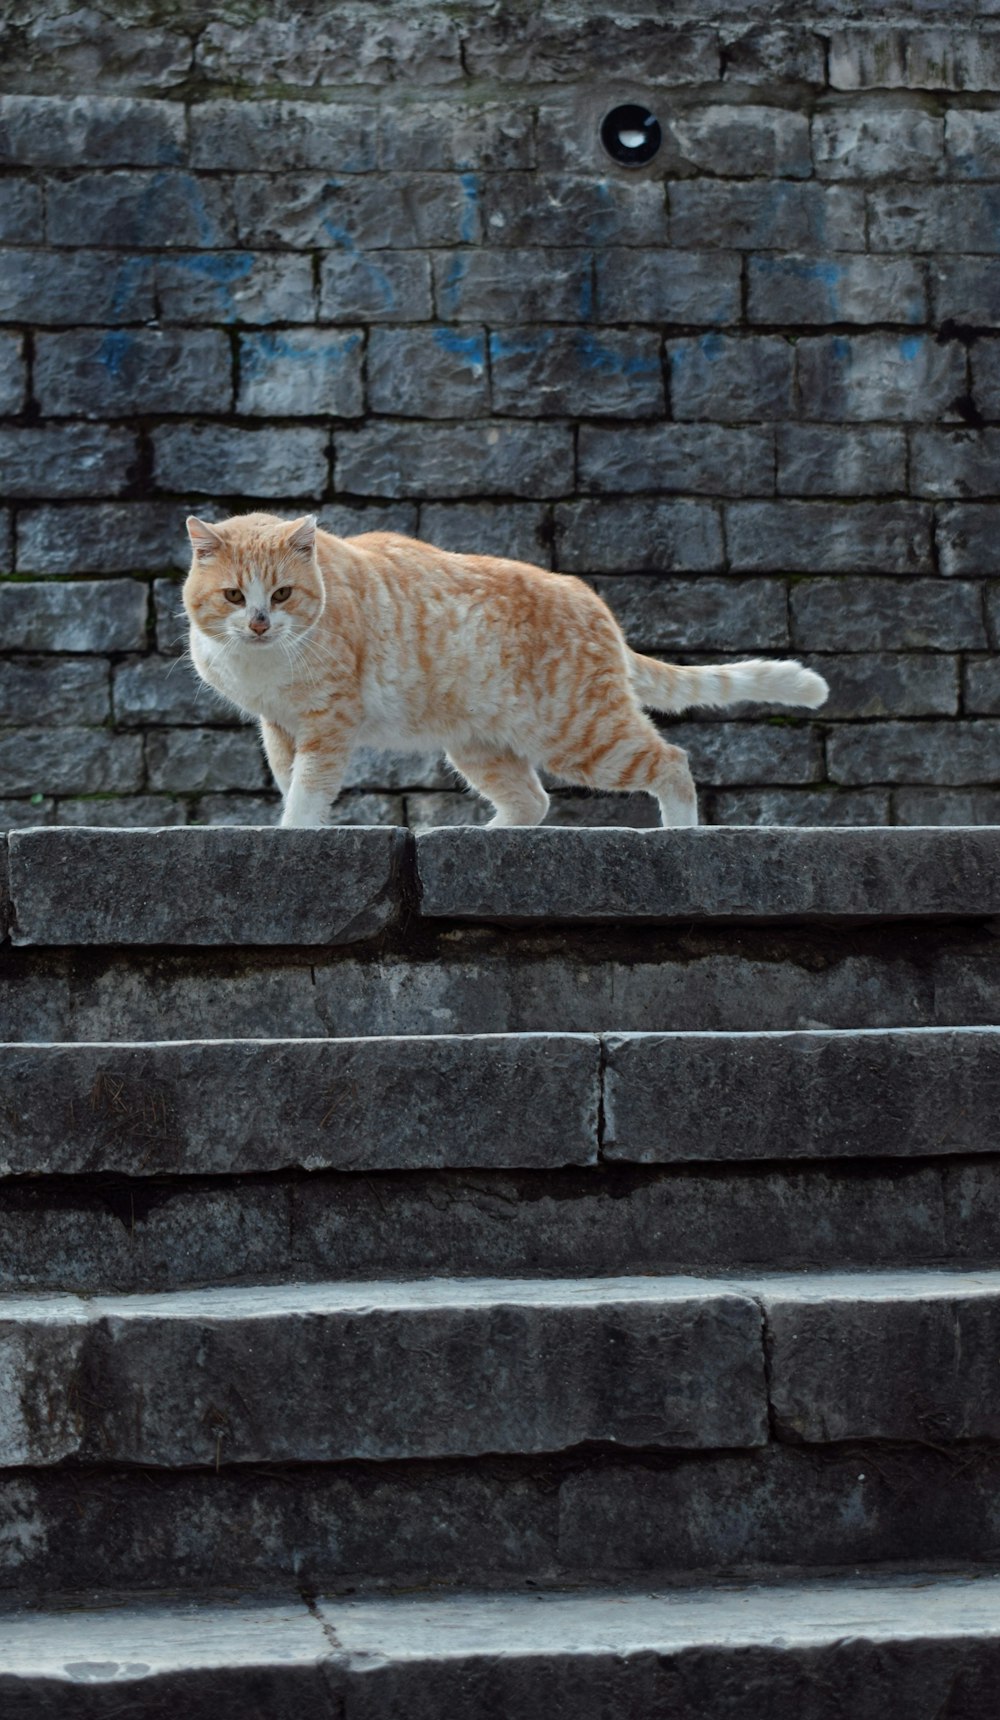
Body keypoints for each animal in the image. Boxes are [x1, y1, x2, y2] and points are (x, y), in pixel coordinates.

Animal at [183, 505, 822, 829]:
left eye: (283, 594)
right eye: (235, 596)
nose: (260, 623)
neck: (262, 662)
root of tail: (592, 600)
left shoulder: (327, 723)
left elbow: (309, 787)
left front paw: (296, 829)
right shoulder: (280, 727)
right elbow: (288, 778)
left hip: (581, 734)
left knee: (672, 761)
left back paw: (681, 832)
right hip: (478, 747)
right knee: (532, 803)